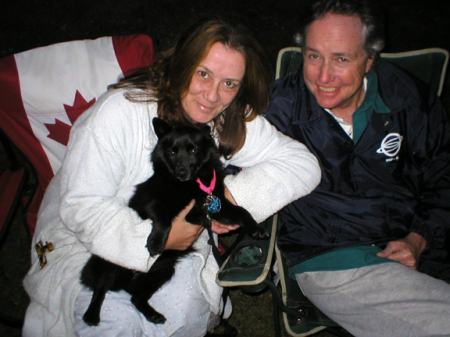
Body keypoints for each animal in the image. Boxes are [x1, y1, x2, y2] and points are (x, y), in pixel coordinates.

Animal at [79, 117, 268, 324]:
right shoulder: (152, 203)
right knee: (101, 287)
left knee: (135, 297)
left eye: (193, 151)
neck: (189, 185)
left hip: (162, 271)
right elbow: (164, 219)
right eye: (172, 152)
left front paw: (255, 228)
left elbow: (241, 211)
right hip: (113, 262)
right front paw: (155, 242)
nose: (182, 172)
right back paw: (91, 314)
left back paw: (152, 314)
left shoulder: (216, 206)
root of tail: (130, 278)